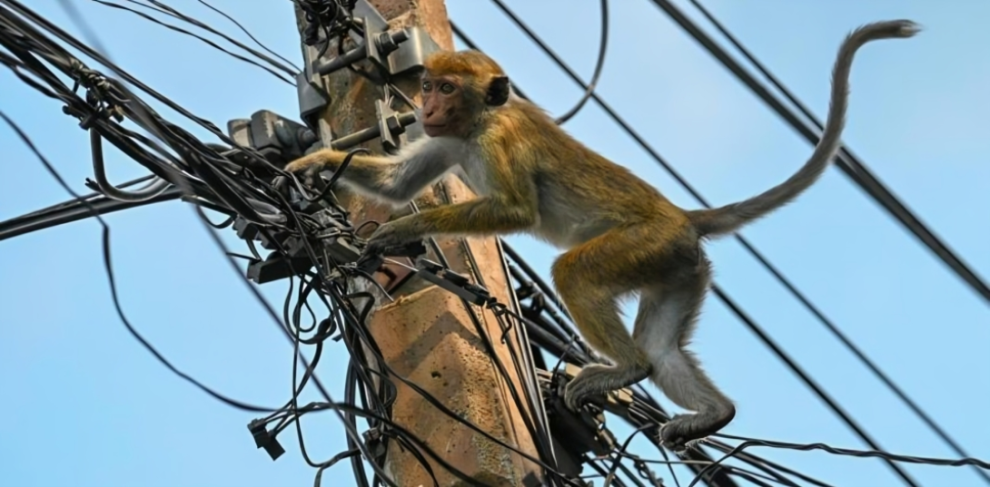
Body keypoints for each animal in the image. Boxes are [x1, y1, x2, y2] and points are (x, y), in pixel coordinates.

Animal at [284, 20, 920, 450]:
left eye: (446, 88)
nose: (427, 105)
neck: (481, 120)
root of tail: (682, 216)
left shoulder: (497, 141)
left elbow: (514, 209)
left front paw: (401, 230)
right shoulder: (446, 140)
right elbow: (396, 182)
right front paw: (311, 164)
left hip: (645, 244)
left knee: (577, 275)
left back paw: (626, 369)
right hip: (679, 267)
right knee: (664, 349)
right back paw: (713, 412)